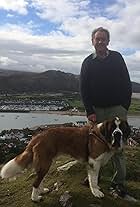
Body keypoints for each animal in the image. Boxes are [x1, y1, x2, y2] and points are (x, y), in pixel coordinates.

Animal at [0, 117, 131, 201]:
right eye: (112, 128)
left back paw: (42, 191)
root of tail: (37, 137)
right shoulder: (94, 161)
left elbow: (92, 177)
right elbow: (93, 179)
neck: (103, 137)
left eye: (122, 128)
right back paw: (35, 198)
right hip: (45, 162)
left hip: (45, 163)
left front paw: (96, 188)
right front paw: (96, 192)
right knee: (36, 182)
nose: (117, 133)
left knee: (40, 178)